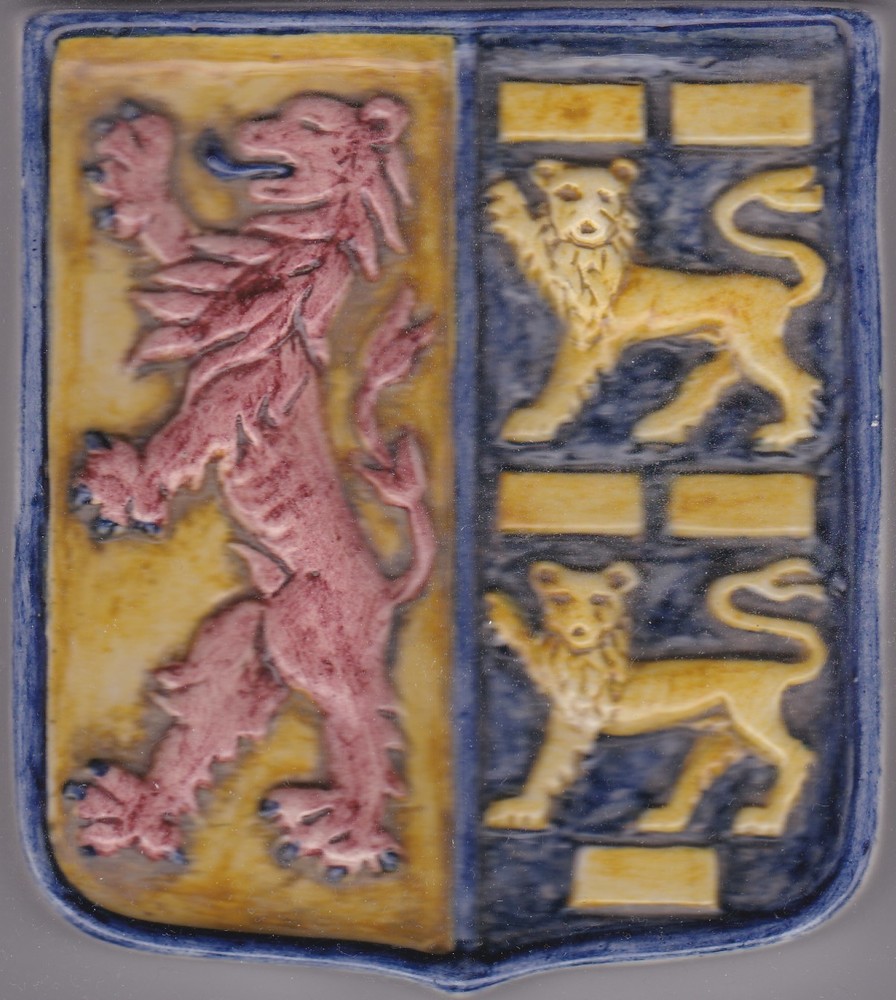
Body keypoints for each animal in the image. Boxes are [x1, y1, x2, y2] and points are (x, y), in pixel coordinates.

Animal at [483, 558, 826, 837]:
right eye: (561, 598)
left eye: (599, 600)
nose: (579, 629)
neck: (584, 656)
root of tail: (776, 668)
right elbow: (527, 643)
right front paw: (497, 605)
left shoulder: (577, 717)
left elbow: (548, 766)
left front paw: (523, 810)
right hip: (723, 732)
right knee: (696, 779)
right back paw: (663, 820)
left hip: (750, 720)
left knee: (797, 755)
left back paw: (766, 821)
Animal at [487, 160, 826, 450]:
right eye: (567, 193)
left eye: (606, 196)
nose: (588, 227)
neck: (593, 259)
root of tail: (784, 290)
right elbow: (535, 242)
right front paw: (508, 202)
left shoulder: (591, 331)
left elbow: (563, 380)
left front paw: (535, 420)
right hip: (733, 345)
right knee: (709, 380)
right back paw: (663, 425)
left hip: (753, 344)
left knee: (800, 382)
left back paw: (784, 435)